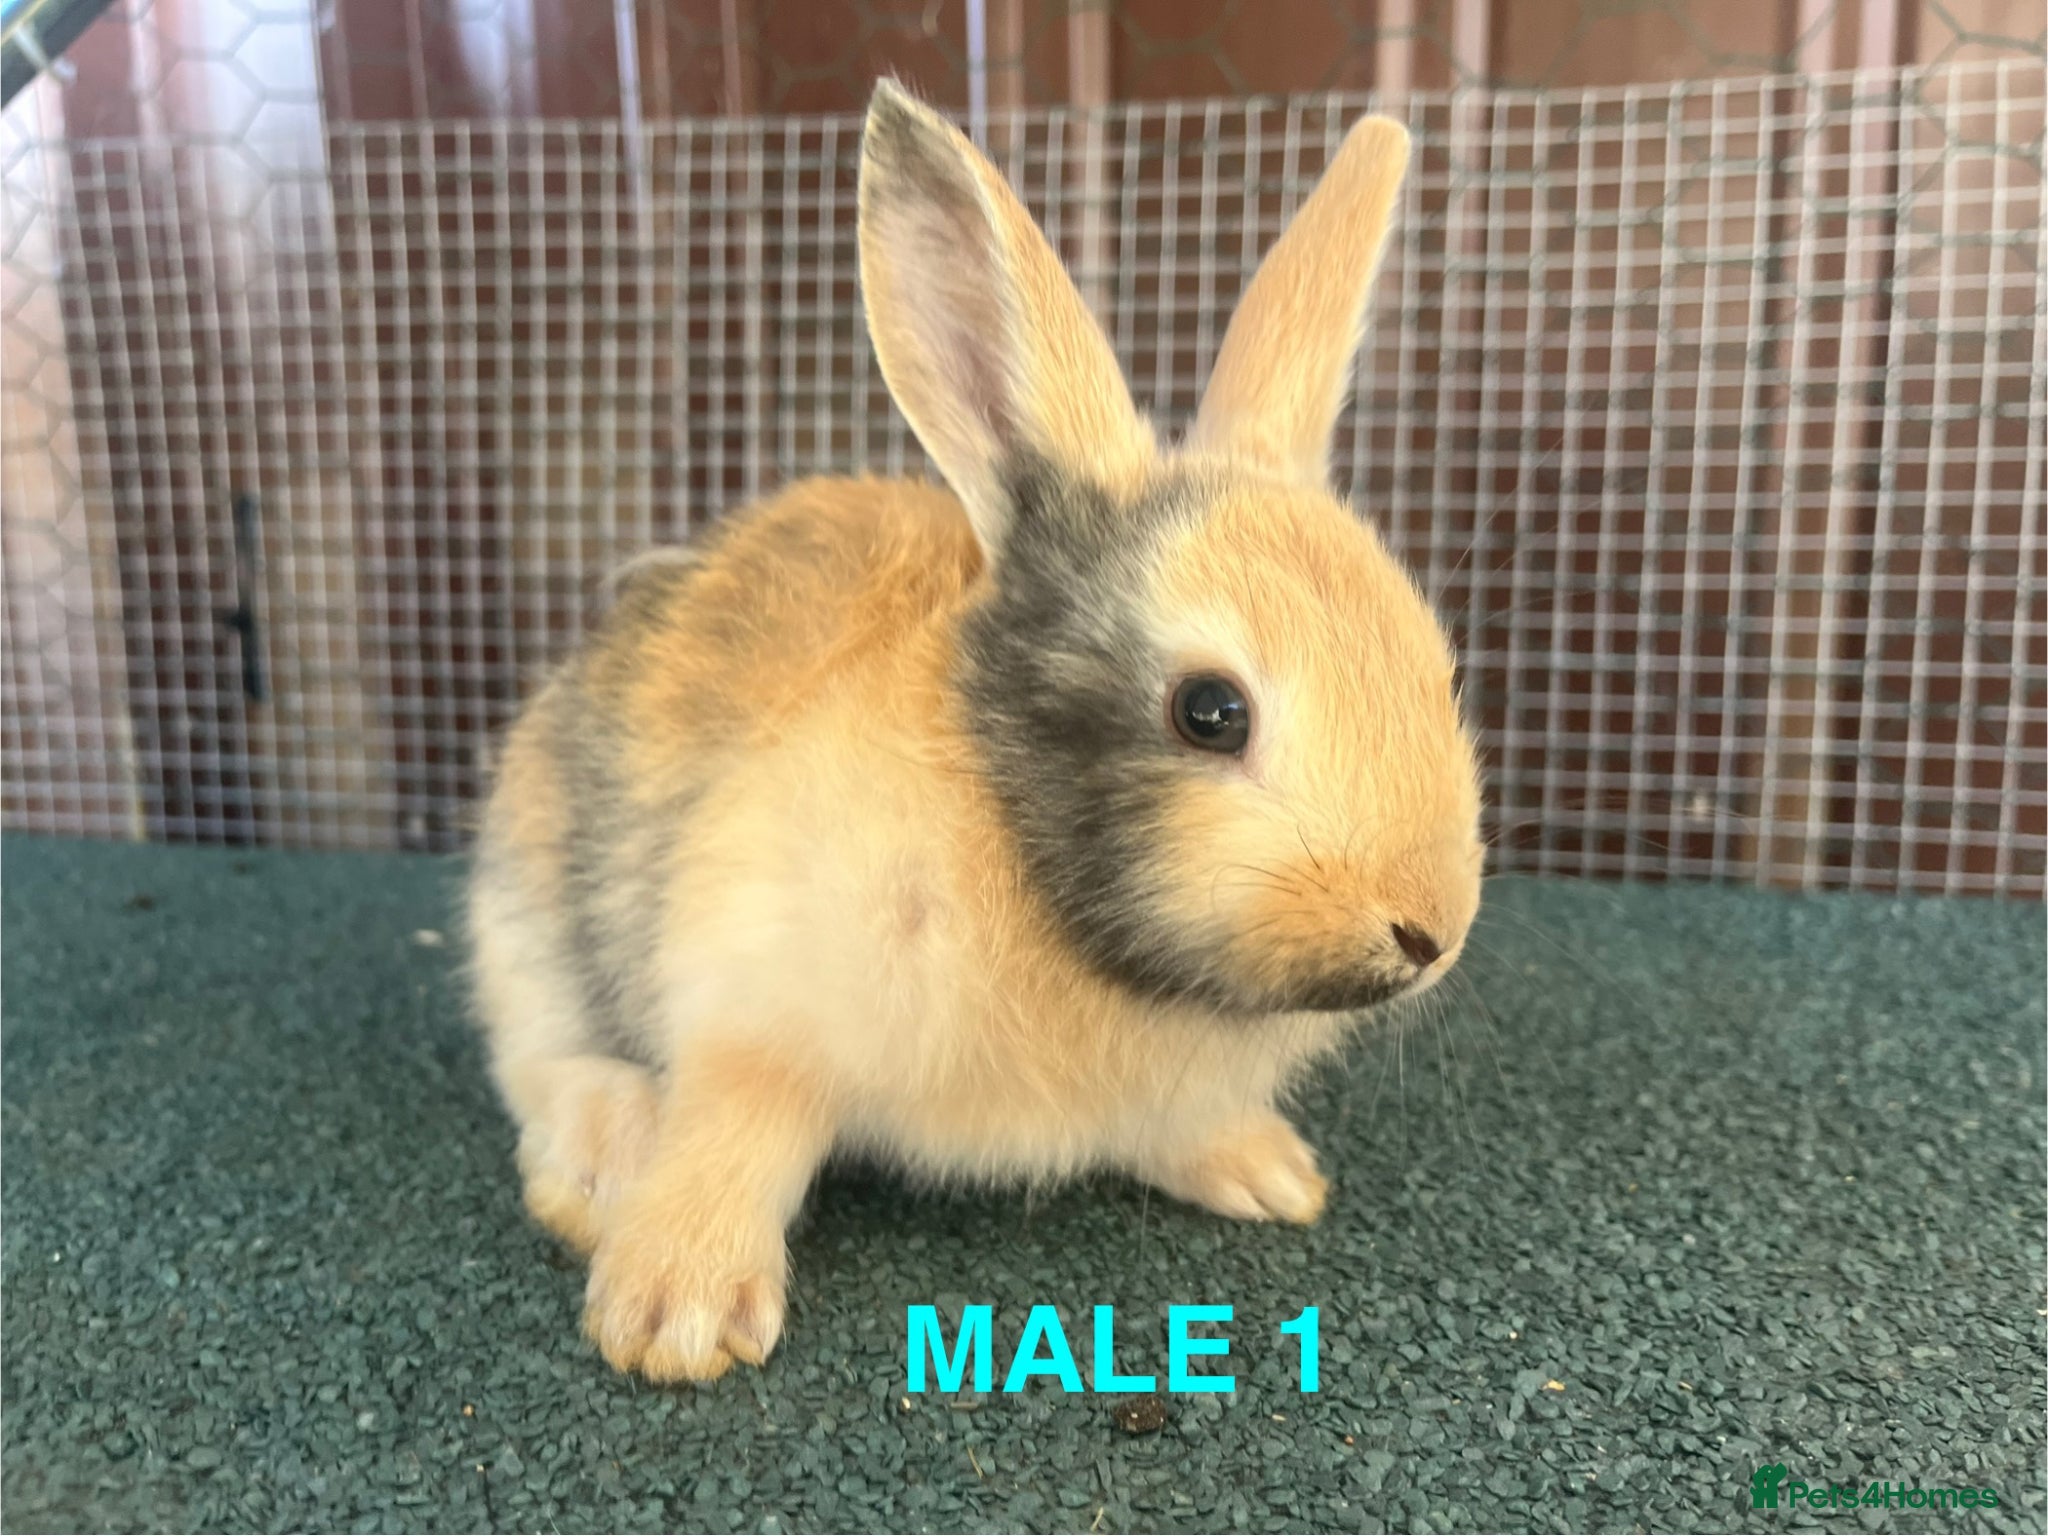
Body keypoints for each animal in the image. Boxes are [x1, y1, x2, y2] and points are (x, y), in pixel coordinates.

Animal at [466, 78, 1483, 1384]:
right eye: (1210, 713)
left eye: (1436, 666)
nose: (1429, 932)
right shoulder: (753, 1004)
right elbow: (738, 1132)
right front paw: (673, 1315)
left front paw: (1266, 1172)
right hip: (526, 926)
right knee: (546, 1068)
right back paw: (605, 1167)